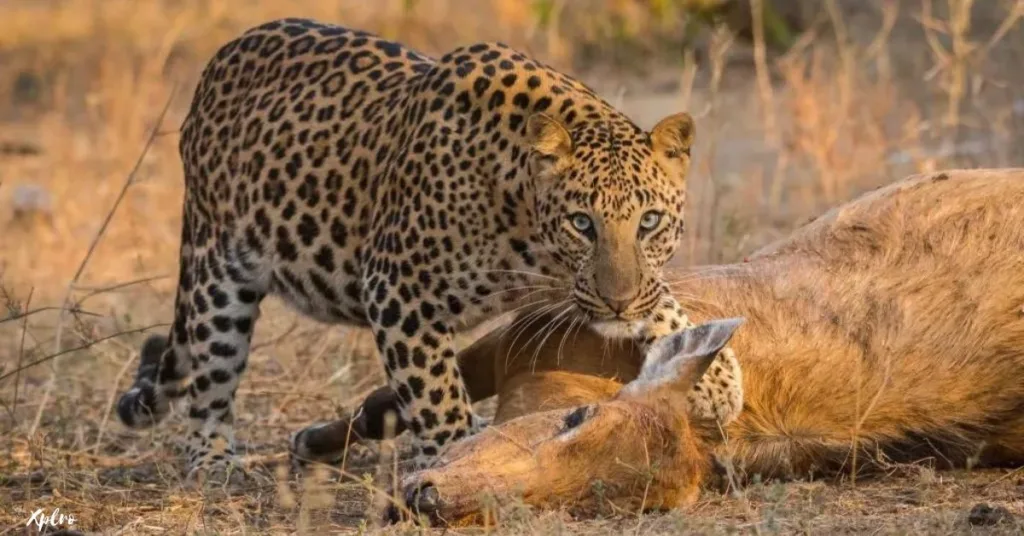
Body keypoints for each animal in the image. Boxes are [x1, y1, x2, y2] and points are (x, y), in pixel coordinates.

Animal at [114, 17, 737, 485]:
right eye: (582, 224)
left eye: (649, 222)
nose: (617, 304)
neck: (524, 225)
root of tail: (224, 55)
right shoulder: (397, 290)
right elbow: (438, 397)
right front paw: (460, 459)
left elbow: (663, 302)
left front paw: (720, 378)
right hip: (217, 274)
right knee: (209, 378)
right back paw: (213, 462)